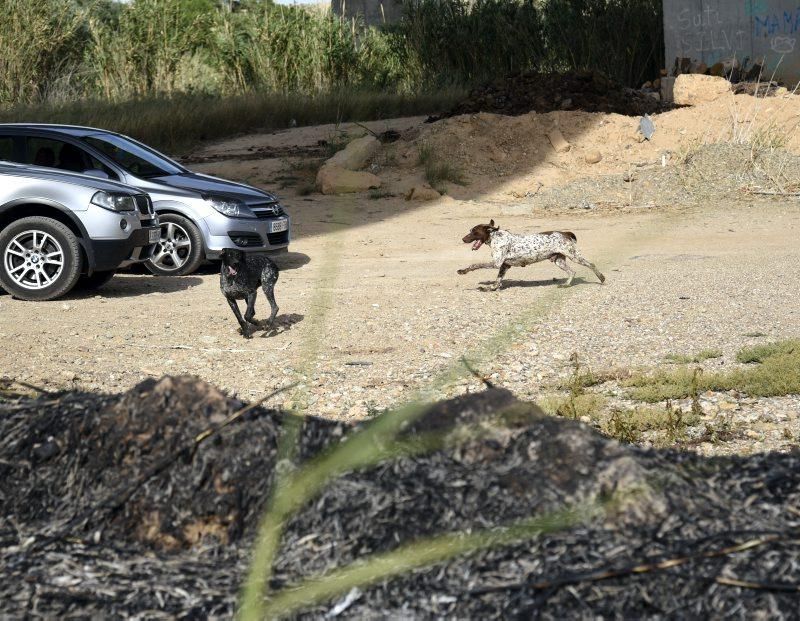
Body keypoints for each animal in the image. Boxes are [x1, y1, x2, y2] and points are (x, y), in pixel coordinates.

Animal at [456, 220, 608, 290]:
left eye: (474, 231)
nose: (463, 239)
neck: (495, 237)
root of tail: (565, 233)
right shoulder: (504, 266)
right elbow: (497, 281)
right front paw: (490, 288)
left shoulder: (496, 263)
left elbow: (475, 264)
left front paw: (463, 270)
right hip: (559, 261)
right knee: (572, 272)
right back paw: (566, 285)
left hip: (574, 256)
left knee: (591, 264)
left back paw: (601, 278)